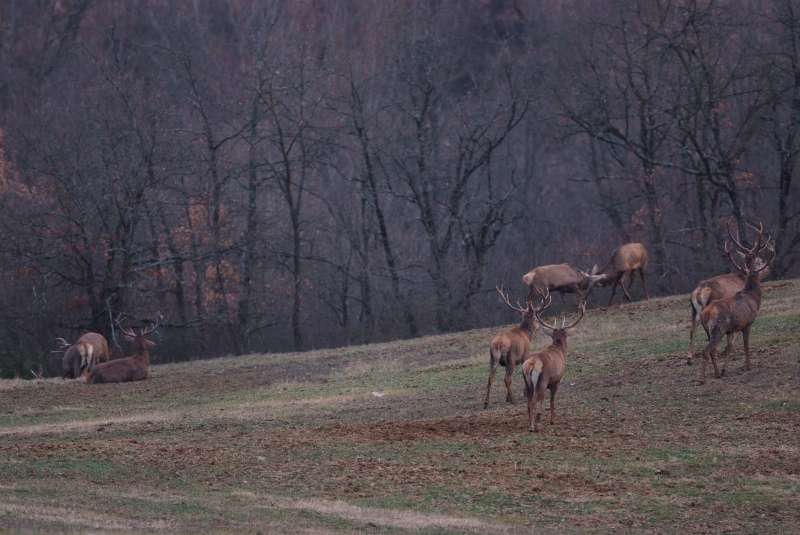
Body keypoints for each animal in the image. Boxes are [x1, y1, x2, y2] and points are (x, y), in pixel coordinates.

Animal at [520, 288, 584, 432]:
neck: (560, 351)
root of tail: (530, 365)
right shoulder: (556, 380)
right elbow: (552, 400)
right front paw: (552, 421)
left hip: (527, 382)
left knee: (528, 401)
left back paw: (530, 423)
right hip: (541, 381)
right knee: (535, 400)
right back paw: (534, 426)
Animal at [700, 223, 776, 386]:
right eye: (757, 259)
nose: (767, 269)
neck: (753, 297)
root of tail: (705, 313)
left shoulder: (731, 330)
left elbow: (730, 347)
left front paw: (724, 370)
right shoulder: (747, 323)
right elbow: (746, 345)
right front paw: (748, 366)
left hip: (709, 330)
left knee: (713, 350)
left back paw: (717, 373)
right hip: (717, 328)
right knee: (707, 350)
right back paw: (702, 379)